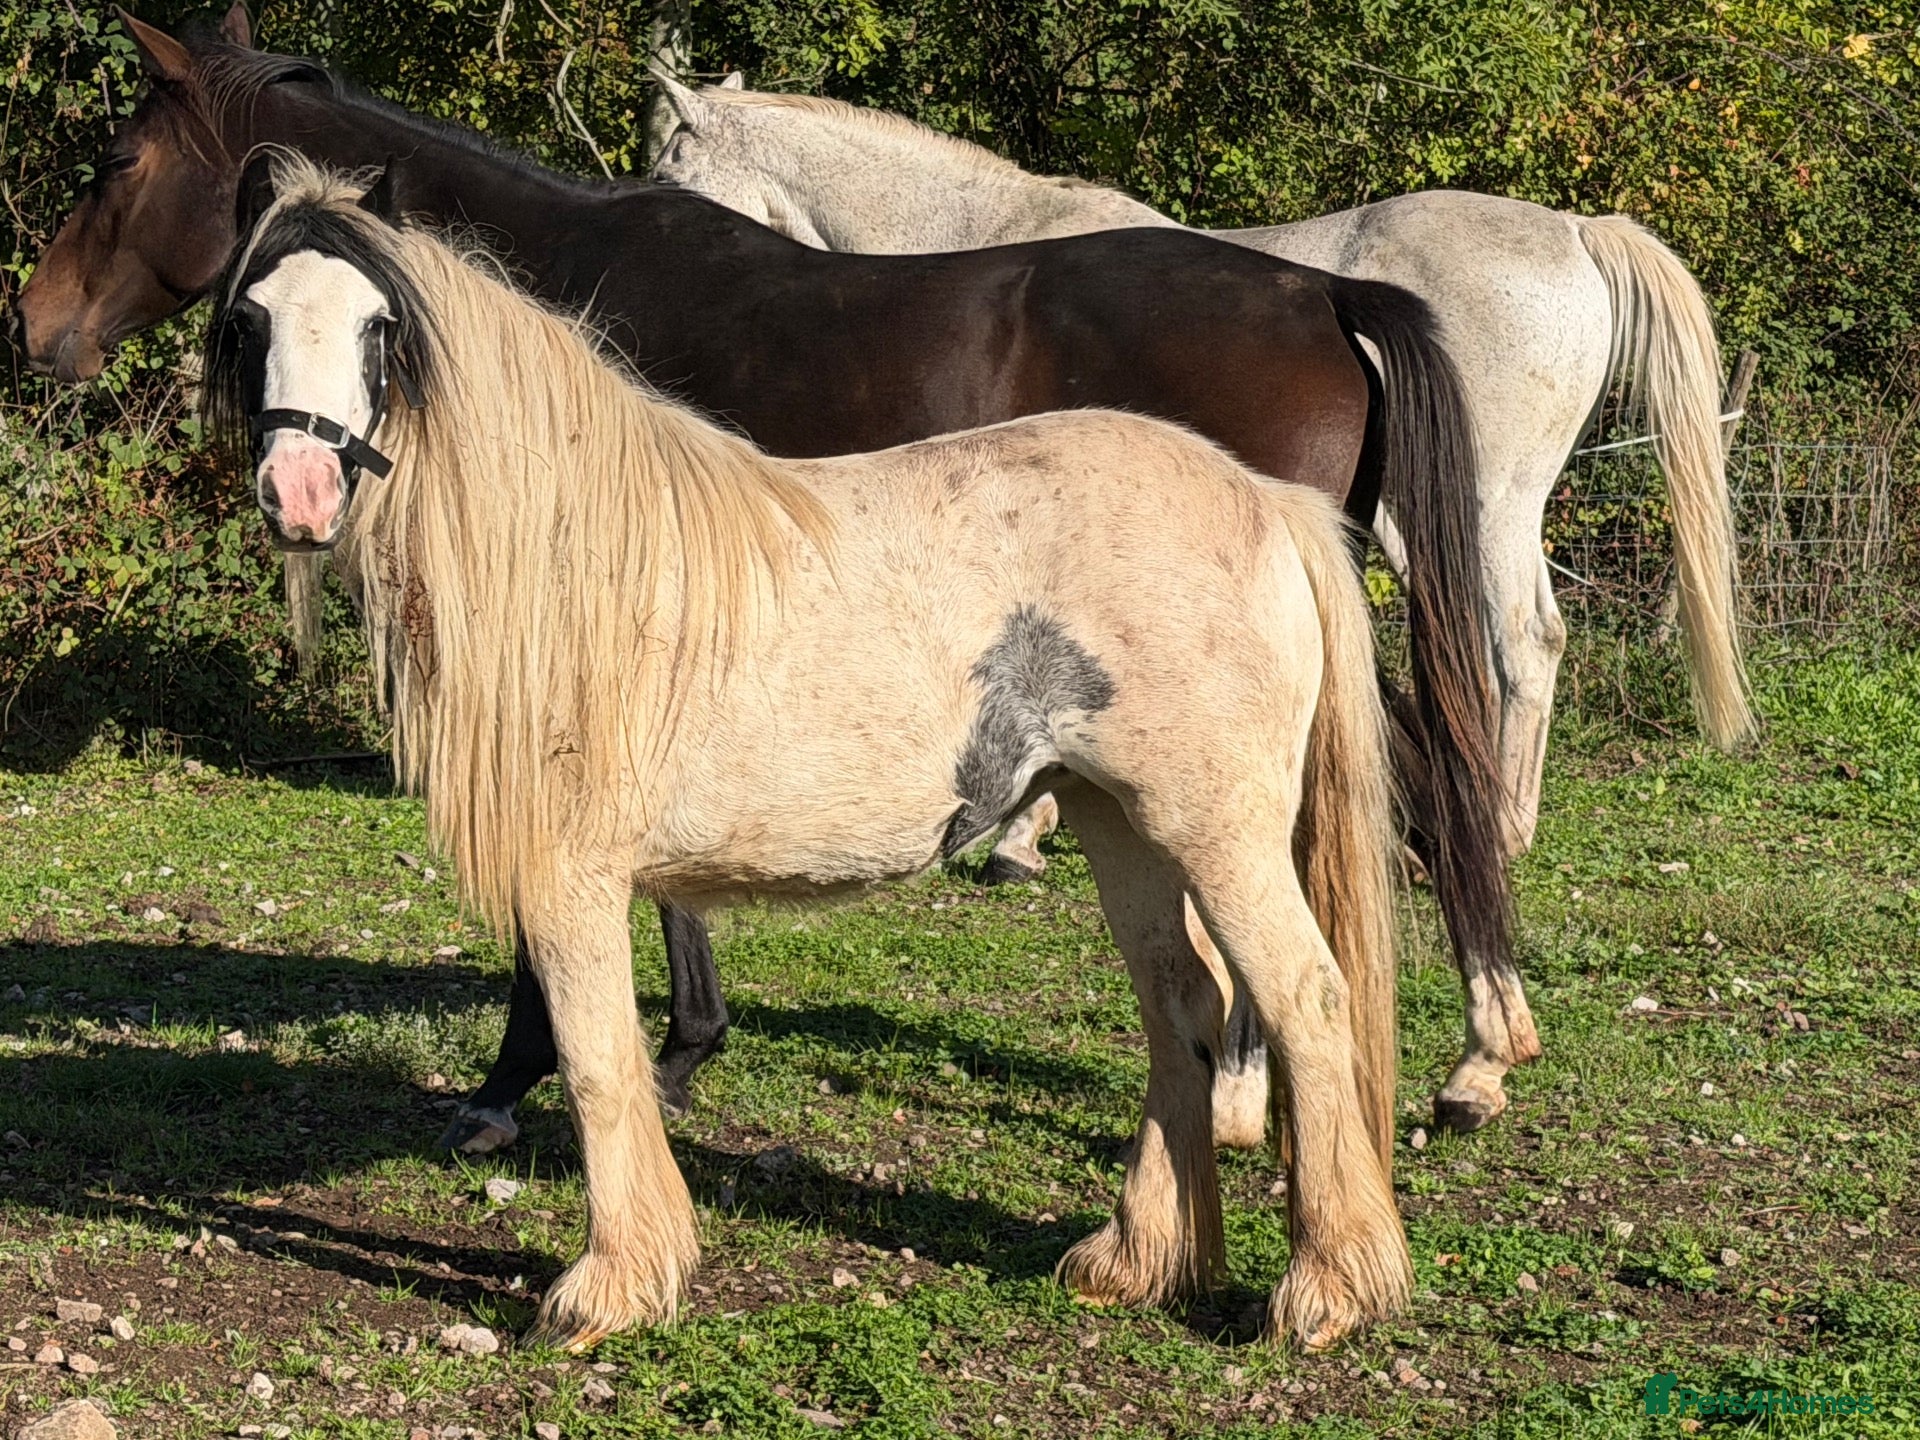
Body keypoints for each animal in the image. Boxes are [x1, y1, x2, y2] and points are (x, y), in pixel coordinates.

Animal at [15, 9, 1525, 1142]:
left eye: (117, 158)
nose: (34, 325)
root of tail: (1317, 292)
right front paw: (678, 1046)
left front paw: (539, 1075)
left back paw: (1353, 1072)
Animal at [206, 155, 1413, 1352]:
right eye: (251, 320)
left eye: (378, 328)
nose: (300, 496)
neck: (564, 555)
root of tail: (1268, 502)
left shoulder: (572, 877)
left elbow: (596, 1060)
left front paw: (610, 1287)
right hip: (1122, 825)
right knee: (1181, 1011)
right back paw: (1140, 1262)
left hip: (1218, 833)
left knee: (1306, 998)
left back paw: (1330, 1289)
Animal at [647, 76, 1757, 854]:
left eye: (665, 168)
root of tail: (1575, 231)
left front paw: (1024, 832)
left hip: (1486, 504)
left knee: (1524, 642)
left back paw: (1509, 829)